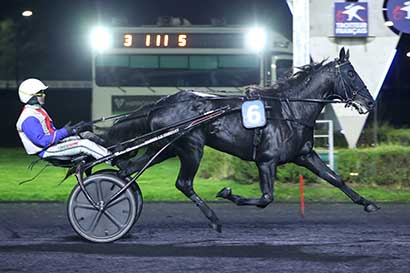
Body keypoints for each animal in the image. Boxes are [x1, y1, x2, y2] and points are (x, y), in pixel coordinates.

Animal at [107, 47, 380, 231]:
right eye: (351, 74)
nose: (370, 102)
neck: (290, 110)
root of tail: (159, 104)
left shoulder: (304, 155)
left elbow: (334, 178)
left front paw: (368, 203)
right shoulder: (266, 161)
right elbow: (266, 198)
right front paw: (229, 193)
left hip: (167, 148)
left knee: (129, 169)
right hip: (190, 148)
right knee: (183, 183)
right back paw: (214, 220)